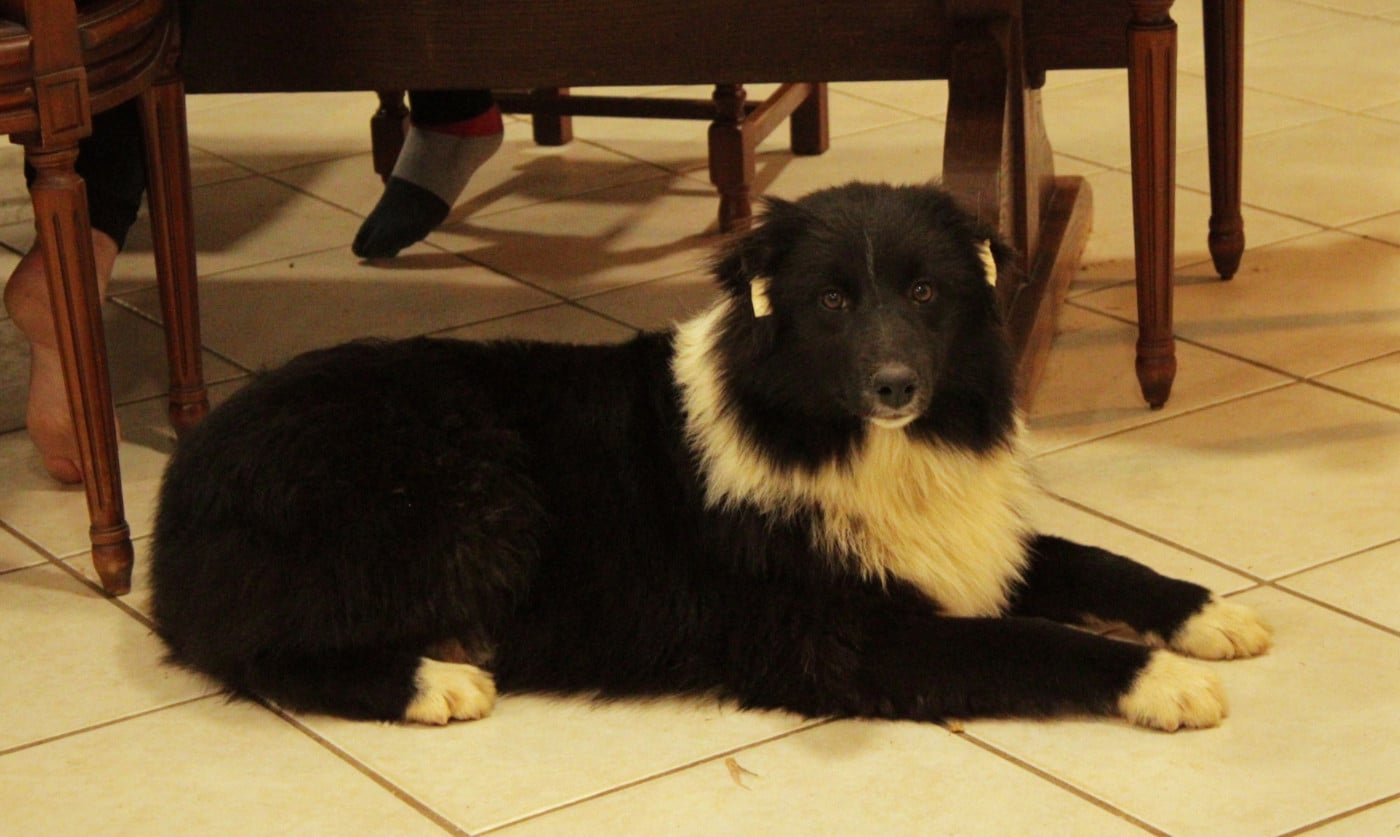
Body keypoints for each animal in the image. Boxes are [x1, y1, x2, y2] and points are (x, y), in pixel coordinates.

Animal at [149, 182, 1270, 731]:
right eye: (830, 301)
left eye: (924, 293)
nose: (895, 386)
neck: (844, 440)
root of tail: (184, 483)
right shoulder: (851, 634)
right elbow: (1037, 645)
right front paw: (1165, 686)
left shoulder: (966, 543)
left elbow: (1094, 563)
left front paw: (1212, 616)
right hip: (472, 491)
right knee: (263, 656)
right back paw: (438, 682)